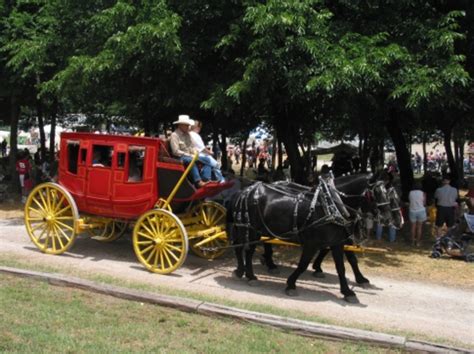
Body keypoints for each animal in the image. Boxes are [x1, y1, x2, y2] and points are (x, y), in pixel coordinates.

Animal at [226, 176, 392, 302]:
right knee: (244, 249)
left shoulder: (337, 242)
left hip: (256, 230)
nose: (388, 218)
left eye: (389, 194)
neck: (332, 205)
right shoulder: (312, 243)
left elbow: (343, 266)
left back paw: (248, 272)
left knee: (245, 249)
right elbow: (303, 264)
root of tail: (243, 192)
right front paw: (291, 284)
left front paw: (348, 290)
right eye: (375, 194)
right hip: (249, 229)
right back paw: (247, 273)